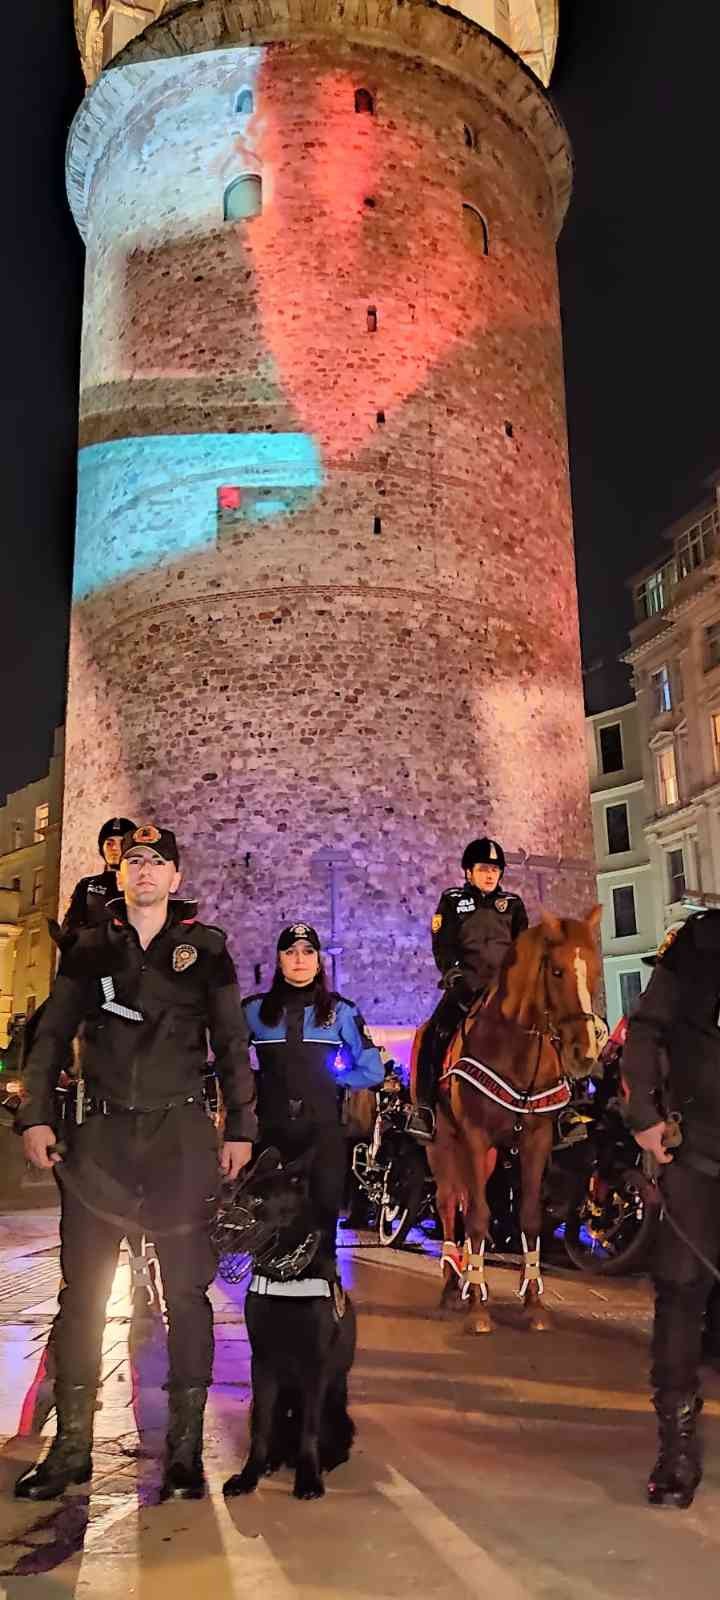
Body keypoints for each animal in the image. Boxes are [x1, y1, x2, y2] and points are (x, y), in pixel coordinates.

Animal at [217, 1152, 355, 1497]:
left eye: (257, 1200)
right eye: (236, 1197)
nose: (217, 1236)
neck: (286, 1275)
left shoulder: (315, 1367)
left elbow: (309, 1431)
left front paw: (308, 1477)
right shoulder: (262, 1365)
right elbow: (261, 1429)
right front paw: (249, 1474)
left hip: (337, 1413)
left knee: (332, 1442)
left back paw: (321, 1461)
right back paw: (273, 1460)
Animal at [409, 908, 601, 1331]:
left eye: (596, 969)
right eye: (557, 971)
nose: (585, 1052)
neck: (516, 1045)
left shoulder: (535, 1141)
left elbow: (527, 1217)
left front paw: (533, 1303)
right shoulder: (474, 1136)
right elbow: (478, 1217)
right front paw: (478, 1310)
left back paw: (469, 1280)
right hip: (442, 1145)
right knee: (450, 1204)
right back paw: (453, 1287)